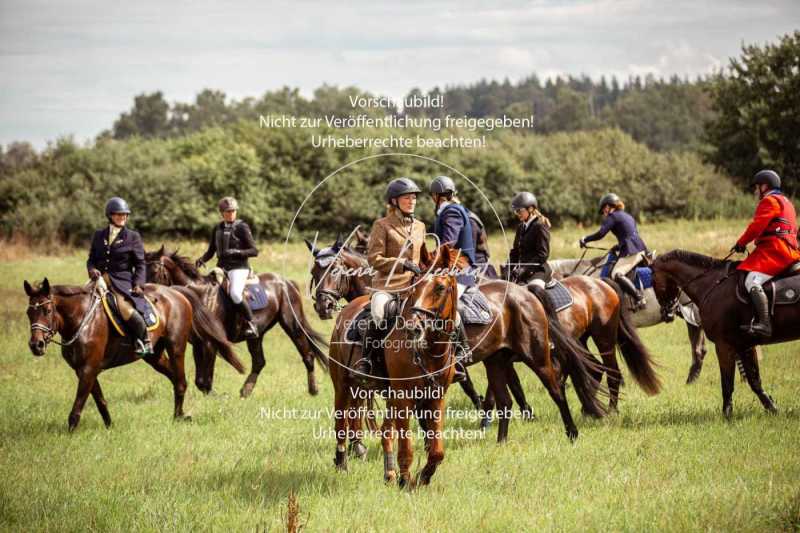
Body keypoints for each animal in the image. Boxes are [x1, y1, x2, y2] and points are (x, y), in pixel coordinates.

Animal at [25, 276, 244, 430]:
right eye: (29, 313)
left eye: (47, 311)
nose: (36, 345)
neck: (82, 320)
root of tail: (174, 291)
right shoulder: (84, 370)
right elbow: (100, 400)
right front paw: (110, 426)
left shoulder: (88, 369)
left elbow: (78, 406)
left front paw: (70, 433)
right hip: (154, 356)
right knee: (175, 378)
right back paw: (181, 414)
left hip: (176, 347)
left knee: (180, 381)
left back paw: (178, 418)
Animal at [145, 247, 328, 396]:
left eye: (154, 270)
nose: (147, 293)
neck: (198, 294)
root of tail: (286, 282)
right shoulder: (198, 343)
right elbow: (199, 381)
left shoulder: (210, 343)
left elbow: (205, 380)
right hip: (256, 336)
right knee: (259, 362)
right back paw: (246, 391)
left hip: (292, 324)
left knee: (307, 355)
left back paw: (313, 389)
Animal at [648, 249, 800, 420]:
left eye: (652, 281)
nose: (666, 313)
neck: (712, 285)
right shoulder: (745, 346)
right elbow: (754, 380)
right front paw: (773, 408)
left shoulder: (724, 345)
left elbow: (727, 383)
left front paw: (727, 414)